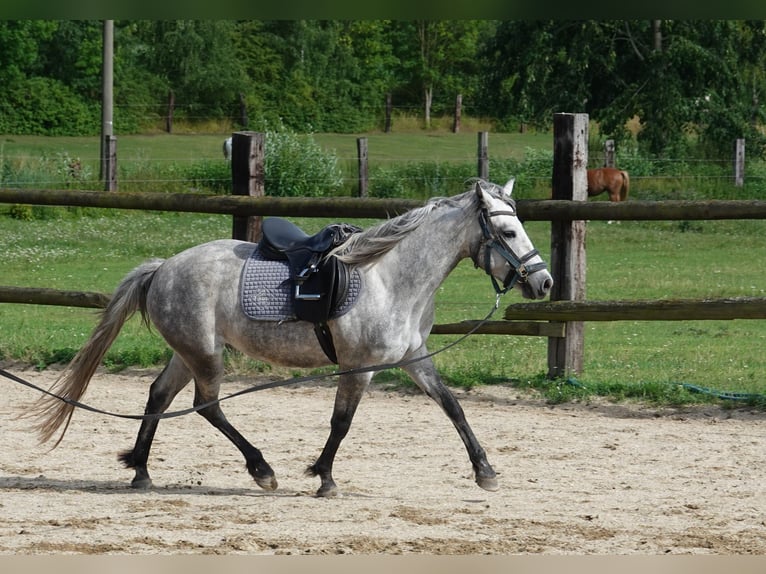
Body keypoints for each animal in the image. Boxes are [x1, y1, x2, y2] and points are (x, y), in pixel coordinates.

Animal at [28, 179, 553, 497]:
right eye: (508, 231)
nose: (544, 283)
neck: (391, 277)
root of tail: (163, 268)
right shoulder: (359, 366)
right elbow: (341, 423)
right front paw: (324, 478)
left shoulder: (414, 358)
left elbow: (453, 407)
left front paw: (485, 472)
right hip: (206, 354)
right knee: (208, 405)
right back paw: (261, 470)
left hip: (189, 351)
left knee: (160, 395)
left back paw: (140, 469)